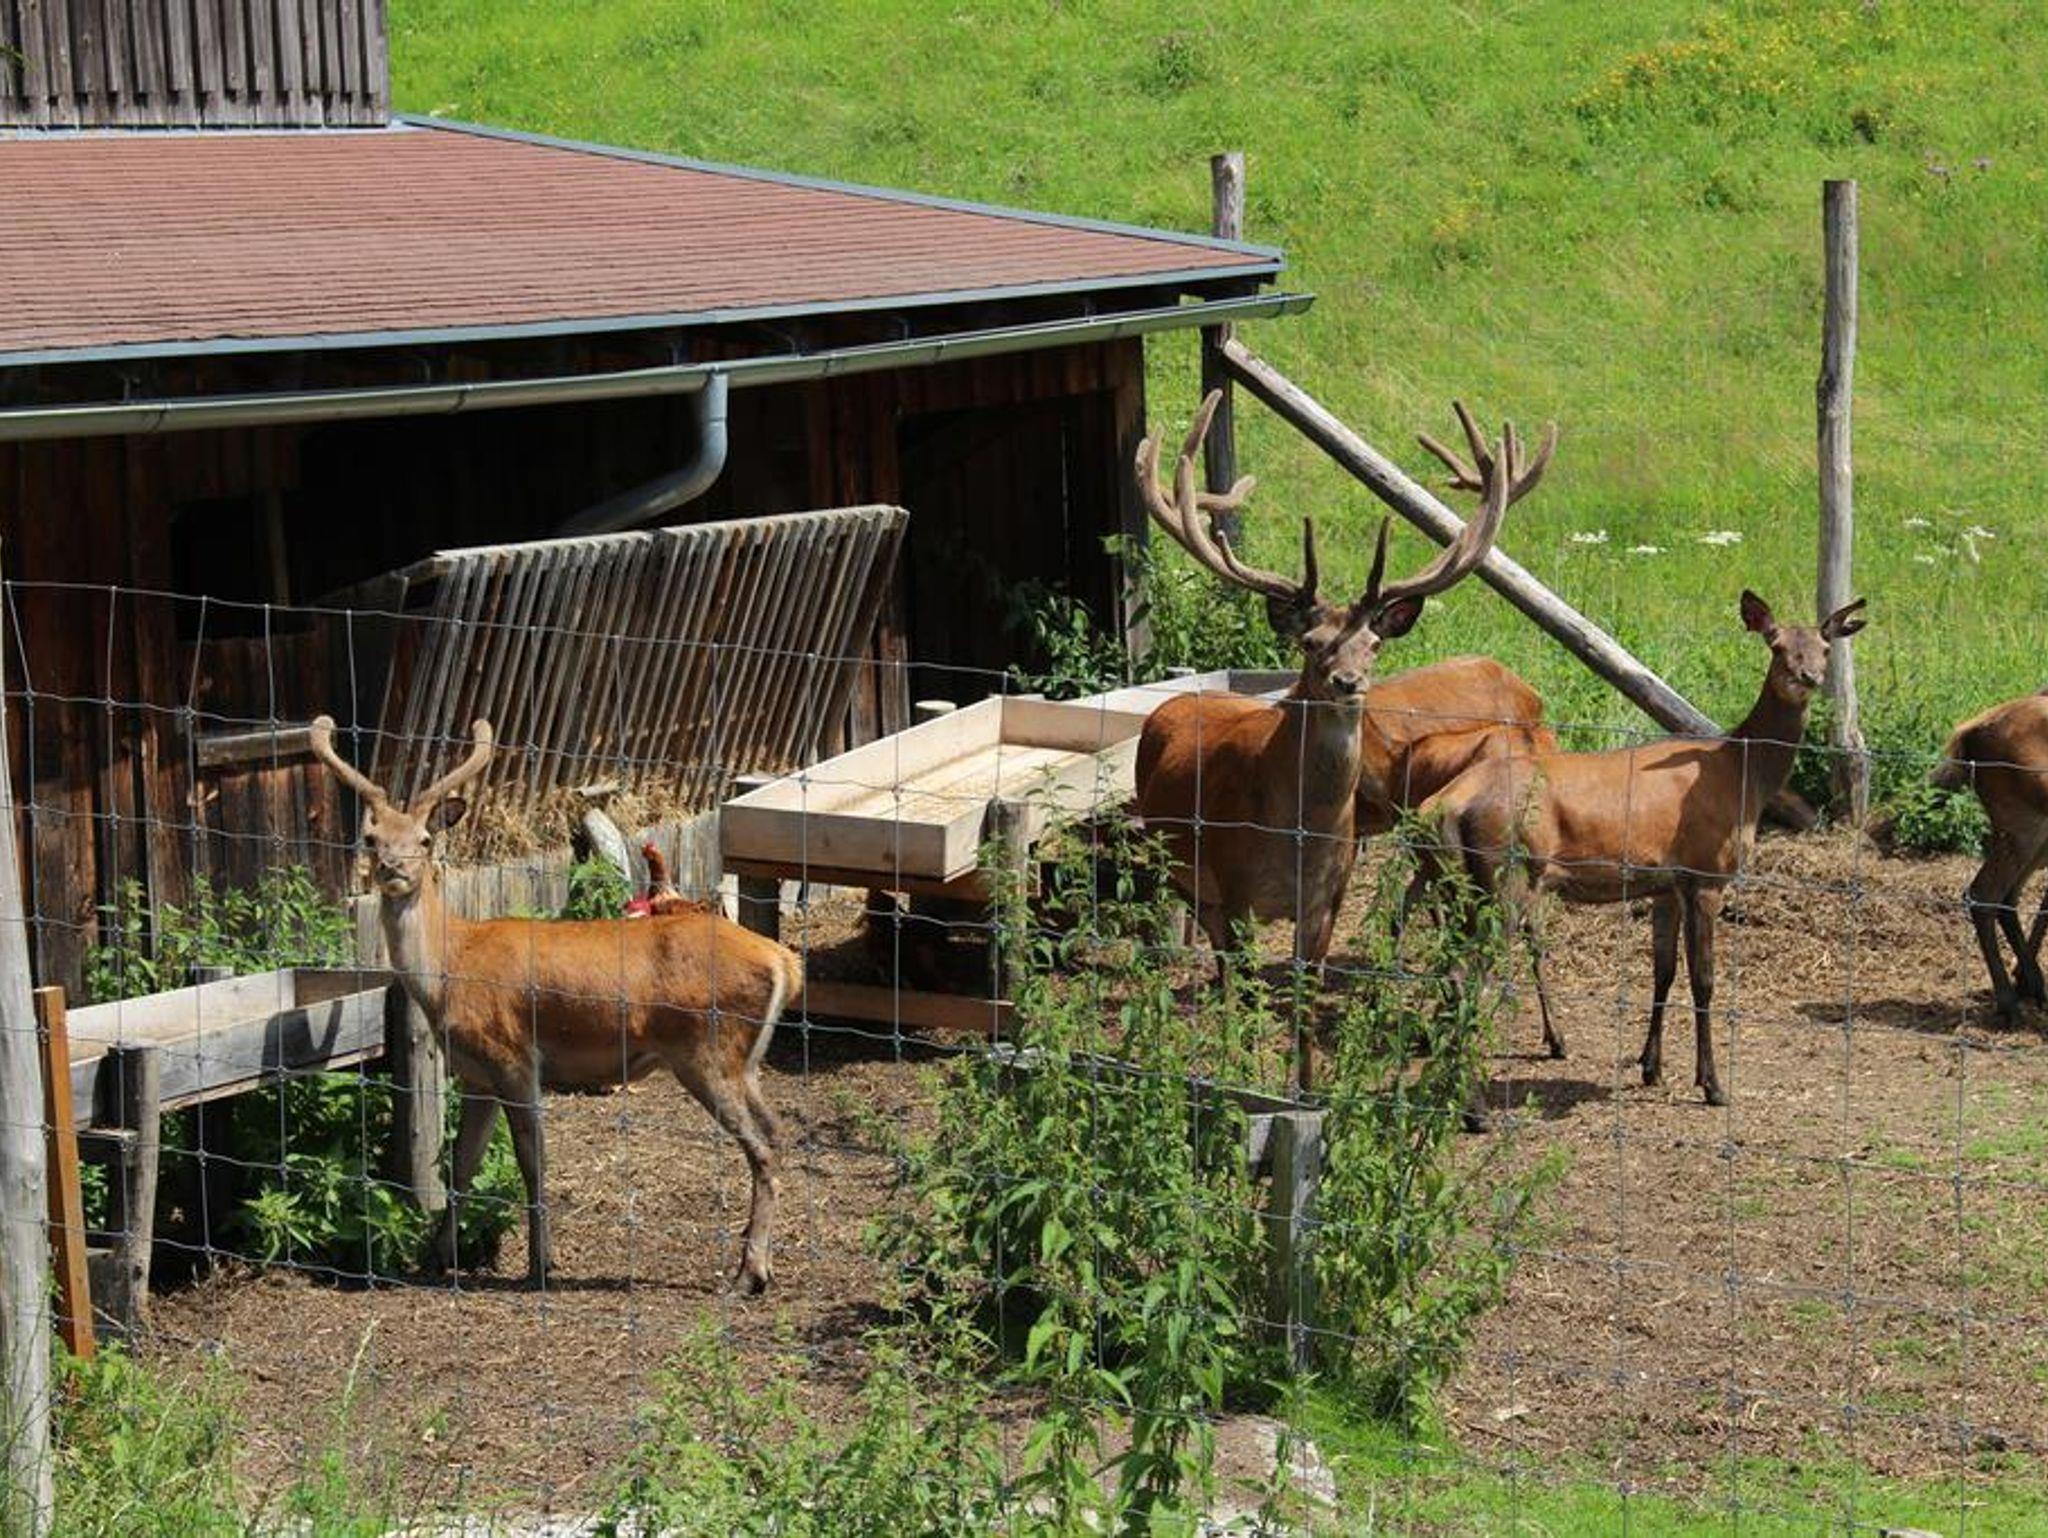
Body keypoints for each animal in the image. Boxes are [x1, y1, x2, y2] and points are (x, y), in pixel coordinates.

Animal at [308, 715, 803, 1293]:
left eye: (426, 839)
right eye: (372, 837)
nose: (392, 869)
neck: (449, 968)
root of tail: (784, 961)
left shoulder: (514, 1057)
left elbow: (532, 1161)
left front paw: (540, 1263)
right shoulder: (475, 1073)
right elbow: (462, 1164)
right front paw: (434, 1257)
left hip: (706, 1050)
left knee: (760, 1146)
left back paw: (750, 1273)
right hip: (745, 1061)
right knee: (776, 1132)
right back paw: (761, 1260)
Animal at [1132, 390, 1548, 978]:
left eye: (1373, 644)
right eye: (1311, 643)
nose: (1346, 682)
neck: (1296, 836)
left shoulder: (1327, 900)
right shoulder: (1234, 890)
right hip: (1178, 864)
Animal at [1421, 591, 1868, 1103]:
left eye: (1825, 648)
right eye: (1776, 646)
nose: (1807, 677)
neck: (1743, 777)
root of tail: (1443, 804)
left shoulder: (1666, 884)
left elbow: (1664, 970)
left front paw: (1651, 1066)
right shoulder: (1706, 872)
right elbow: (1704, 980)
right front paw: (1712, 1084)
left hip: (1459, 883)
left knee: (1451, 967)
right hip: (1506, 872)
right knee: (1469, 972)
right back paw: (1471, 1099)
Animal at [1929, 689, 2048, 1020]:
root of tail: (1968, 733)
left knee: (2007, 897)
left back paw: (2031, 984)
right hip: (2025, 827)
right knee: (1983, 894)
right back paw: (2009, 1002)